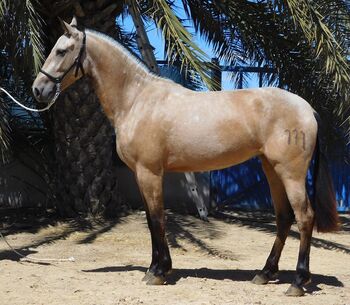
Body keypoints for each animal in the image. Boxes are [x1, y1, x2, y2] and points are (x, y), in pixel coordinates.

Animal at [32, 16, 340, 294]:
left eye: (61, 51)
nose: (38, 89)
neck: (137, 99)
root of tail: (307, 108)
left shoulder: (149, 172)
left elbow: (157, 219)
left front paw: (158, 272)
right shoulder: (143, 175)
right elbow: (150, 219)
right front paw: (156, 268)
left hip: (291, 173)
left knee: (304, 217)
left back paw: (298, 282)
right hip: (271, 170)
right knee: (284, 218)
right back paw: (265, 274)